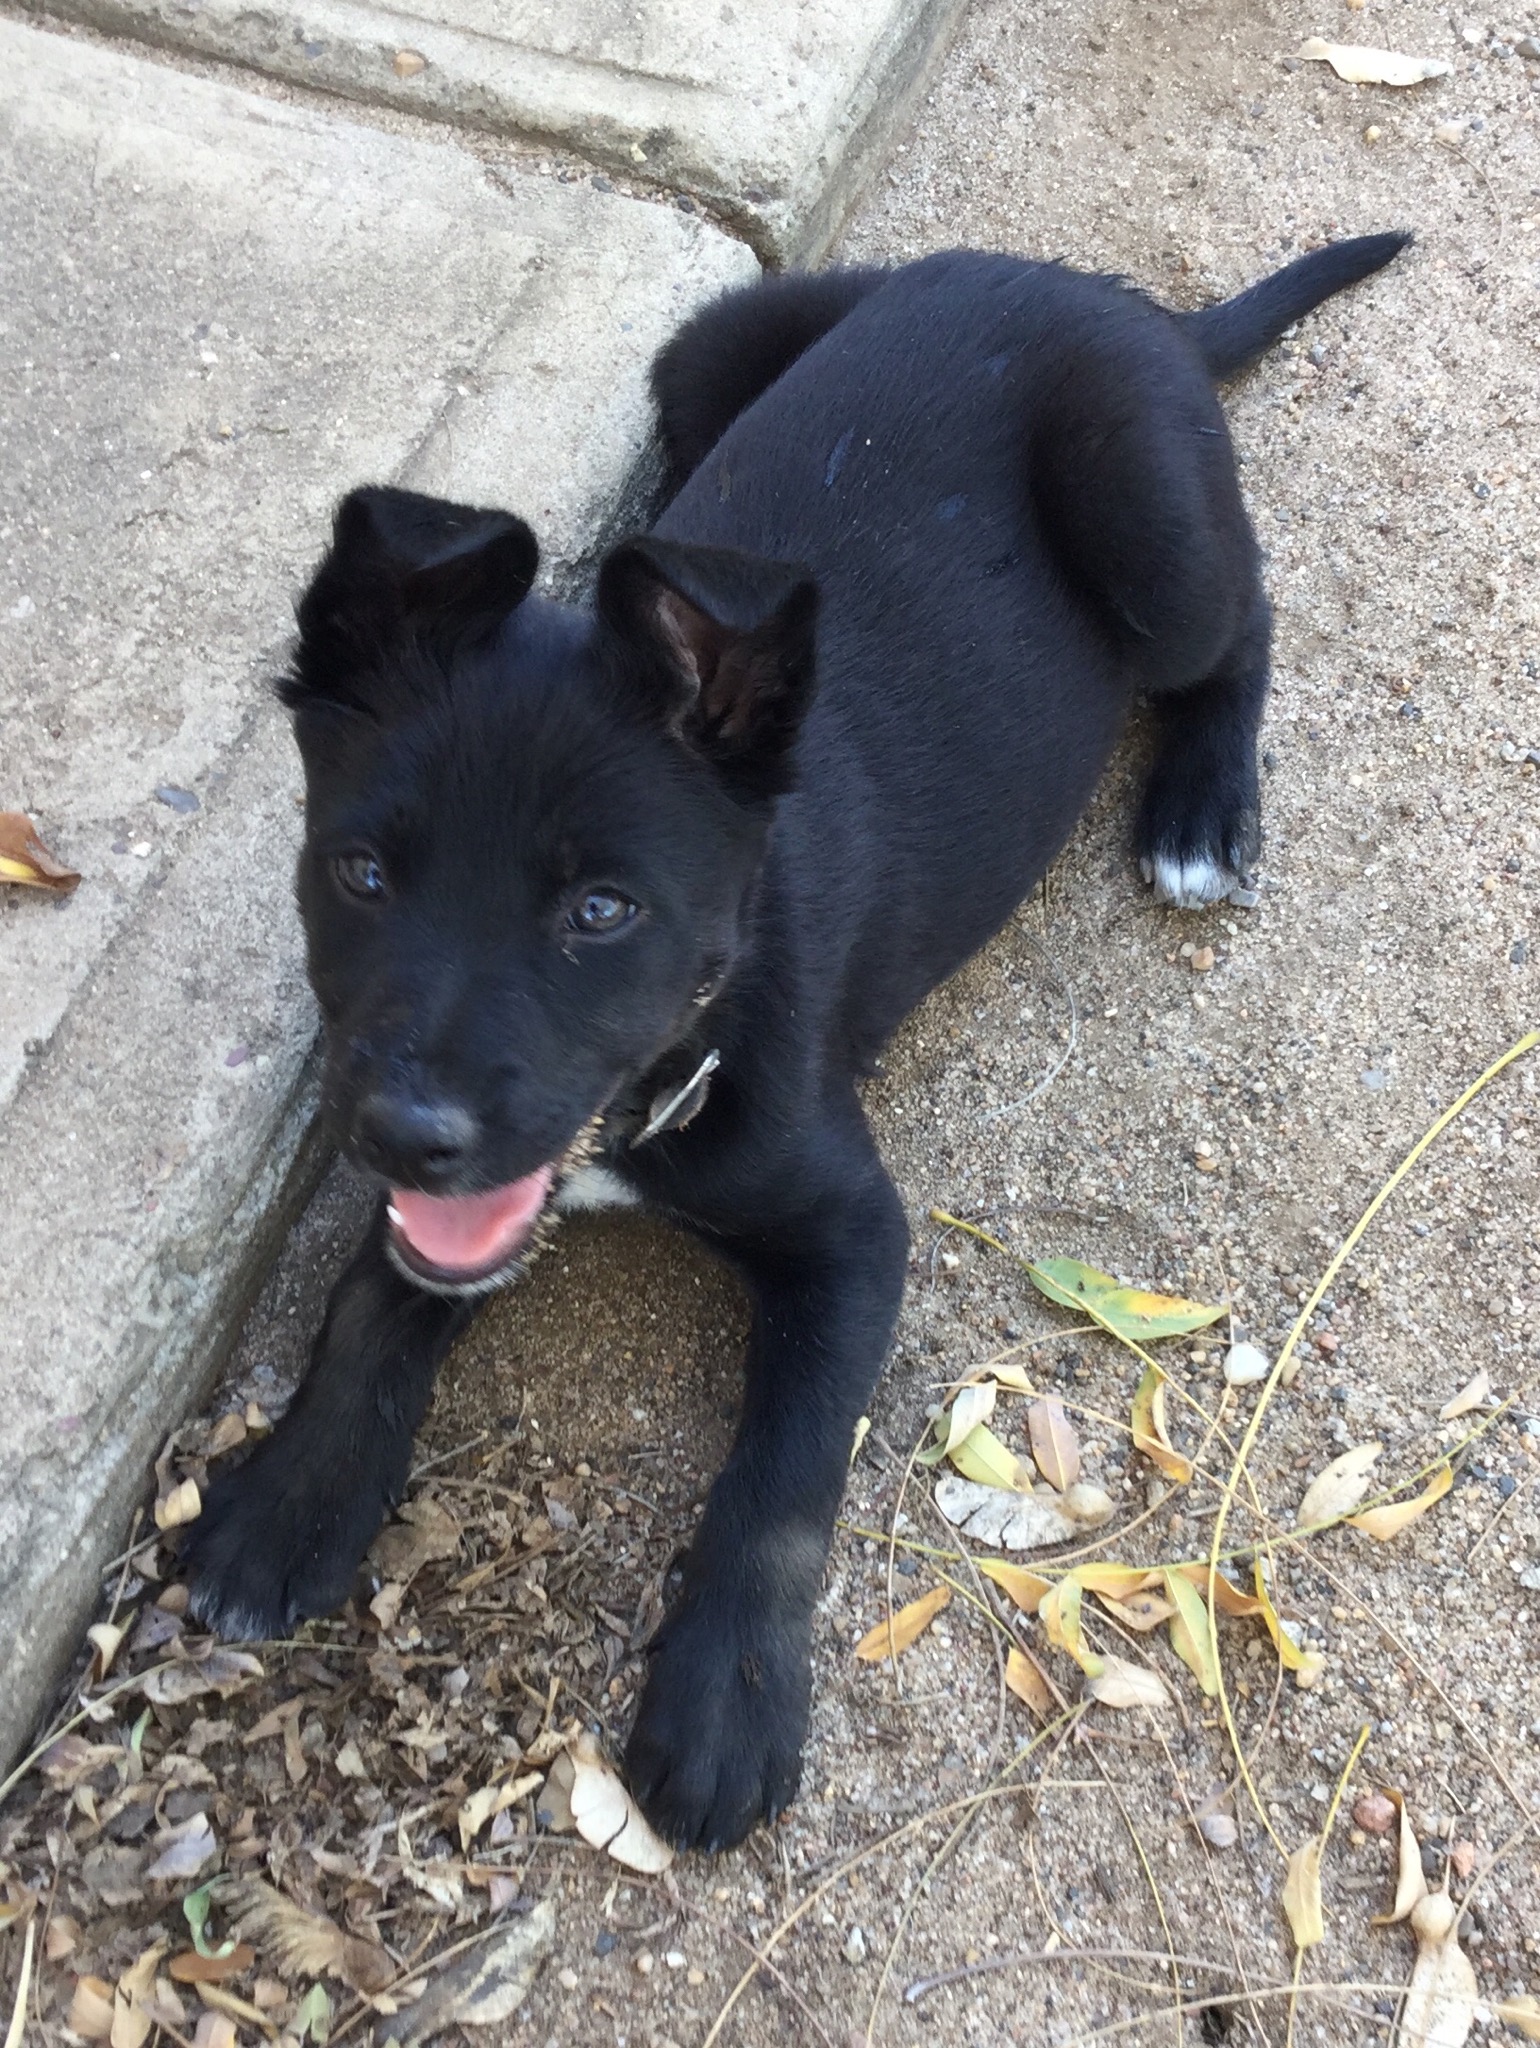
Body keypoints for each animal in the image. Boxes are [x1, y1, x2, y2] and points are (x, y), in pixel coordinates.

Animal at [184, 232, 1408, 1850]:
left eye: (600, 909)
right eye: (363, 873)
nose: (401, 1134)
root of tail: (1096, 290)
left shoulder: (852, 1231)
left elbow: (780, 1479)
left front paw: (727, 1698)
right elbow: (368, 1302)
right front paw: (287, 1502)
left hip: (1149, 523)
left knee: (1245, 622)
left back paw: (1206, 804)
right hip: (708, 347)